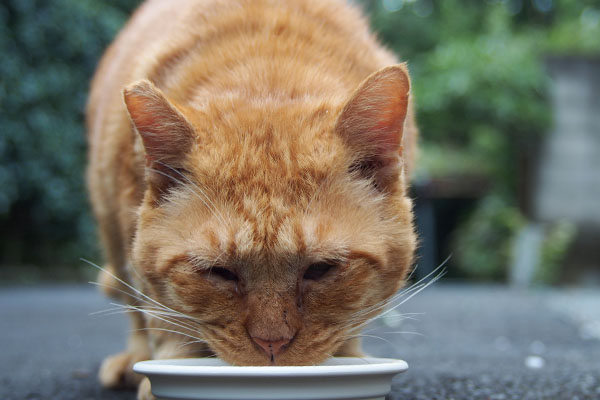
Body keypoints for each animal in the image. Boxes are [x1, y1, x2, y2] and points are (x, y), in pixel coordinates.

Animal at [88, 0, 418, 396]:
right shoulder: (133, 237)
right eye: (219, 272)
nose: (271, 344)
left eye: (322, 269)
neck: (268, 75)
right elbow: (161, 317)